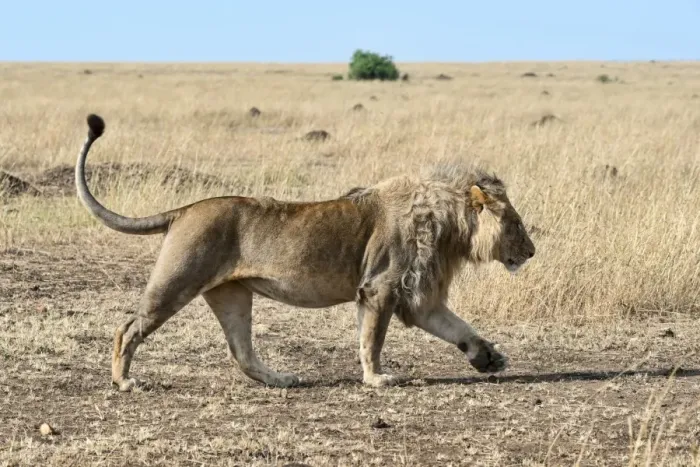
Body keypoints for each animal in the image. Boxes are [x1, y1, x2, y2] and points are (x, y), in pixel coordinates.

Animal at [75, 114, 535, 391]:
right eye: (515, 224)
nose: (531, 251)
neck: (449, 225)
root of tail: (185, 208)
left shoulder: (415, 297)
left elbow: (459, 328)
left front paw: (489, 358)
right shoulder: (380, 289)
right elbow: (373, 340)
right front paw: (376, 379)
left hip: (232, 295)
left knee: (241, 351)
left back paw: (280, 379)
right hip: (177, 280)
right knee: (128, 327)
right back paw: (123, 382)